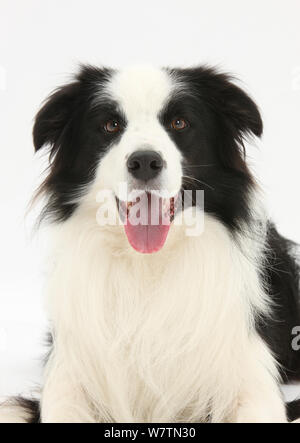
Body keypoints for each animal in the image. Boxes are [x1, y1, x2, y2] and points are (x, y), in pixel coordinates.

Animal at [0, 63, 300, 424]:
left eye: (180, 123)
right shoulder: (68, 380)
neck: (147, 264)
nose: (145, 161)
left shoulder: (252, 381)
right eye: (110, 125)